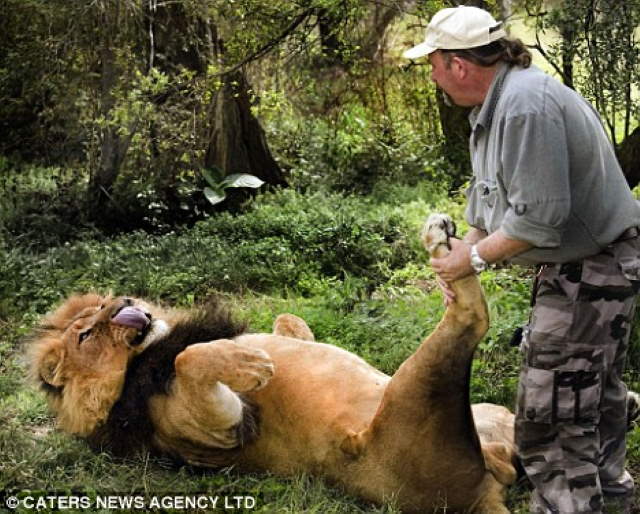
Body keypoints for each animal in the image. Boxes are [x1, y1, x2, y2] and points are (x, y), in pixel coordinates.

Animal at [31, 214, 520, 510]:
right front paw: (251, 364)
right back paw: (442, 247)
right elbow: (190, 358)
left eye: (104, 304)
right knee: (471, 315)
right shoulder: (218, 429)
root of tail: (488, 488)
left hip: (495, 414)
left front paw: (274, 339)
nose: (124, 303)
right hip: (416, 392)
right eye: (86, 334)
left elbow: (287, 321)